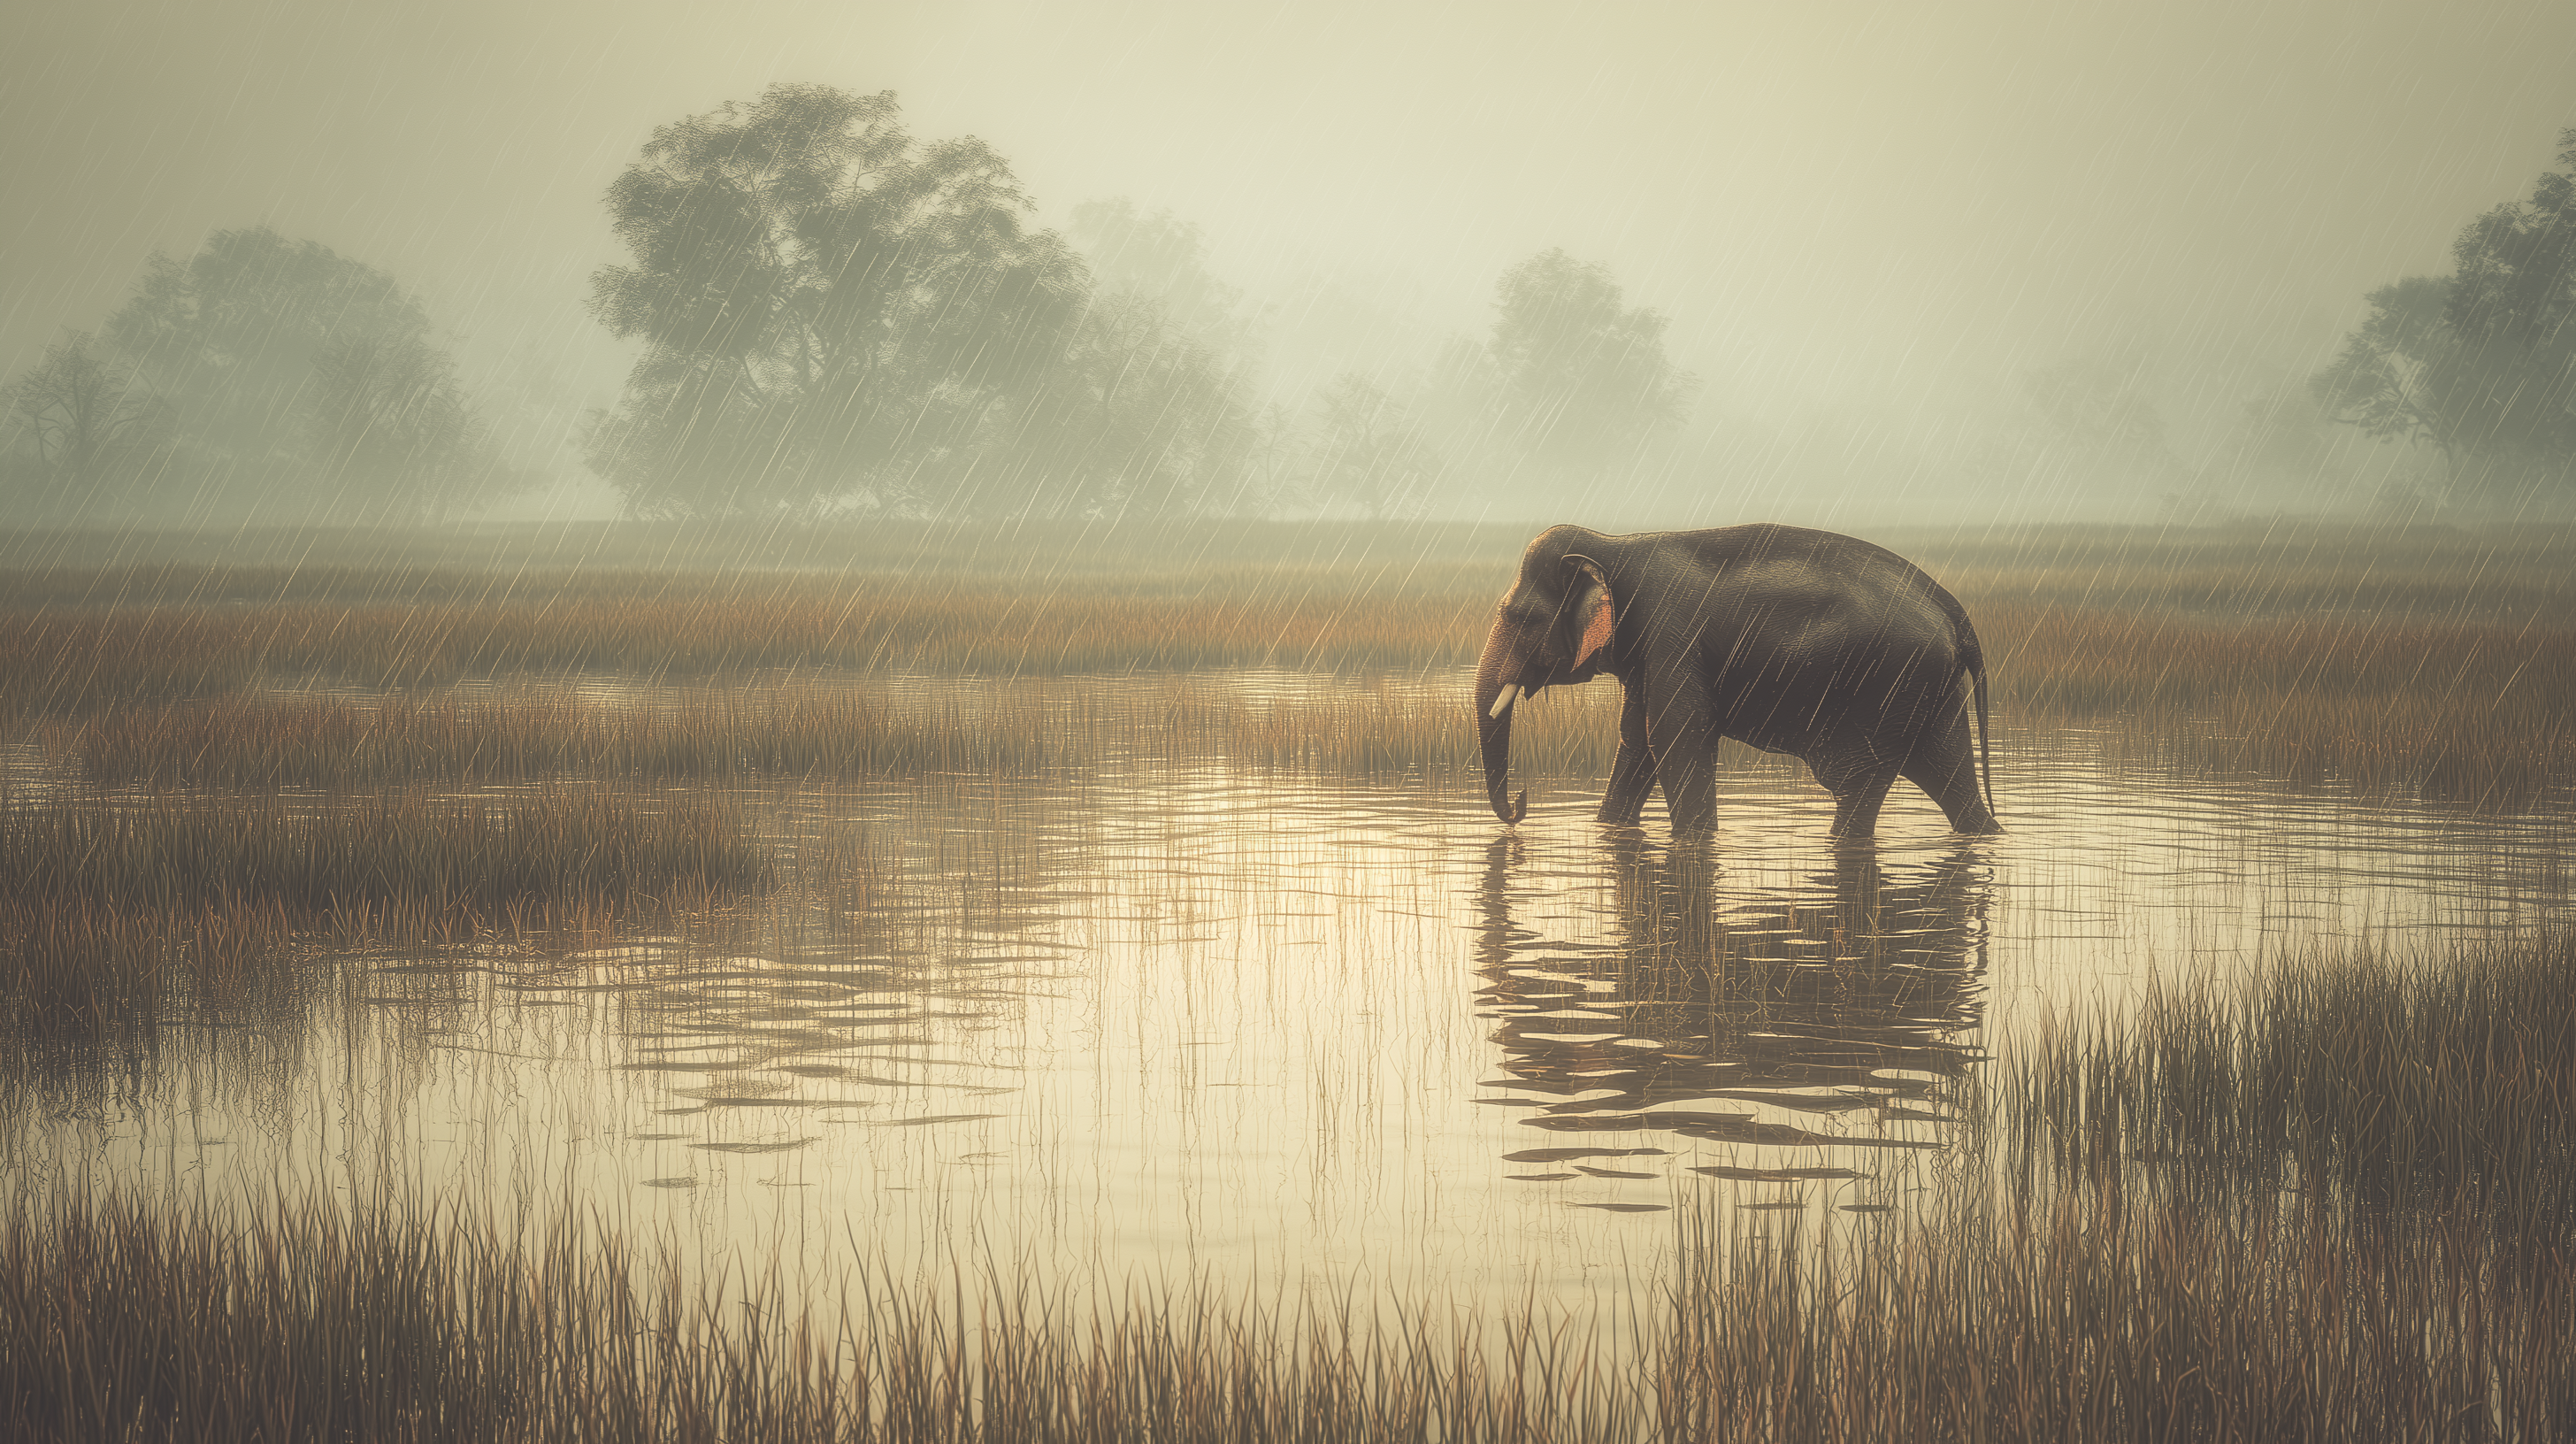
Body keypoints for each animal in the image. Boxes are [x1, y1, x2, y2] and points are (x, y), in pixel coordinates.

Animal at [1475, 523, 1999, 837]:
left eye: (1521, 617)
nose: (1523, 803)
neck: (1615, 543)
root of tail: (1956, 612)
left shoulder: (1672, 636)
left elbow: (1676, 736)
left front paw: (1693, 840)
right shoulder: (1648, 658)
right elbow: (1637, 741)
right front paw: (1610, 831)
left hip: (1893, 684)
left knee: (1860, 783)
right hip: (1932, 690)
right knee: (1950, 774)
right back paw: (1984, 830)